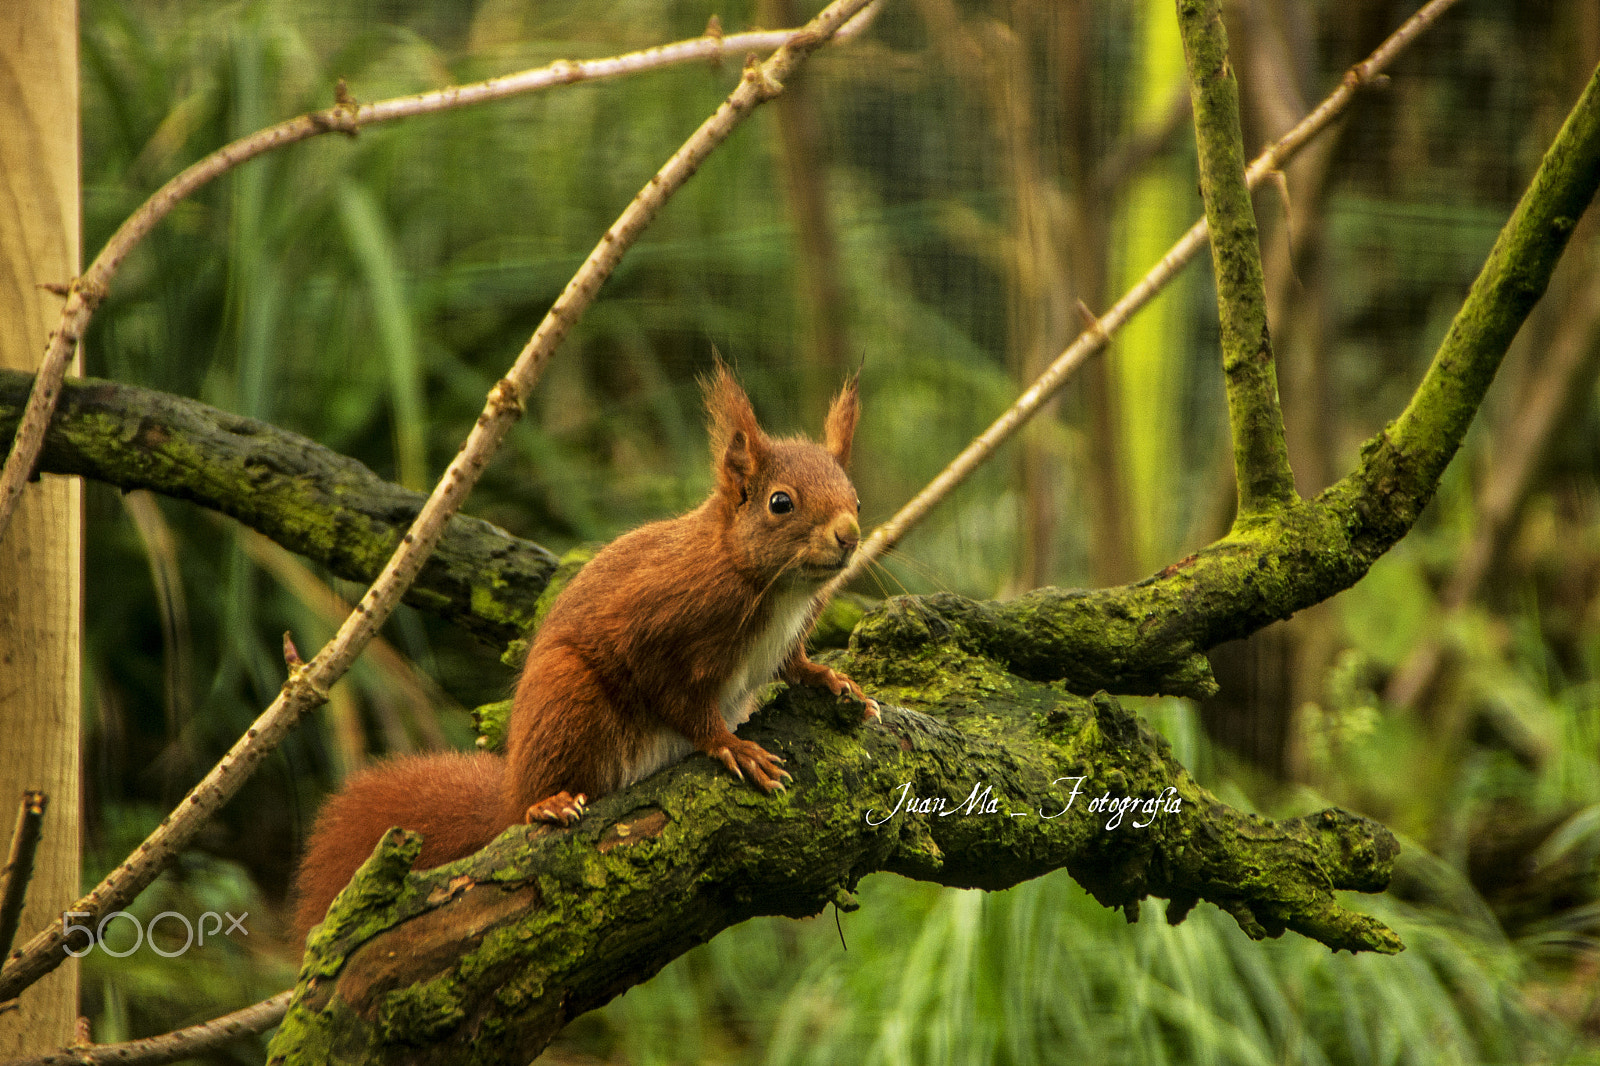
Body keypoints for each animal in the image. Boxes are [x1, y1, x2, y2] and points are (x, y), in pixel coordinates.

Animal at [291, 364, 876, 940]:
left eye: (856, 499)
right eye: (781, 502)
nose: (850, 535)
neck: (773, 586)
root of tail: (510, 787)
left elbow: (792, 663)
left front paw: (830, 679)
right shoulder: (658, 626)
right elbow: (675, 696)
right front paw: (729, 745)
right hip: (567, 698)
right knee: (540, 790)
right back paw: (546, 803)